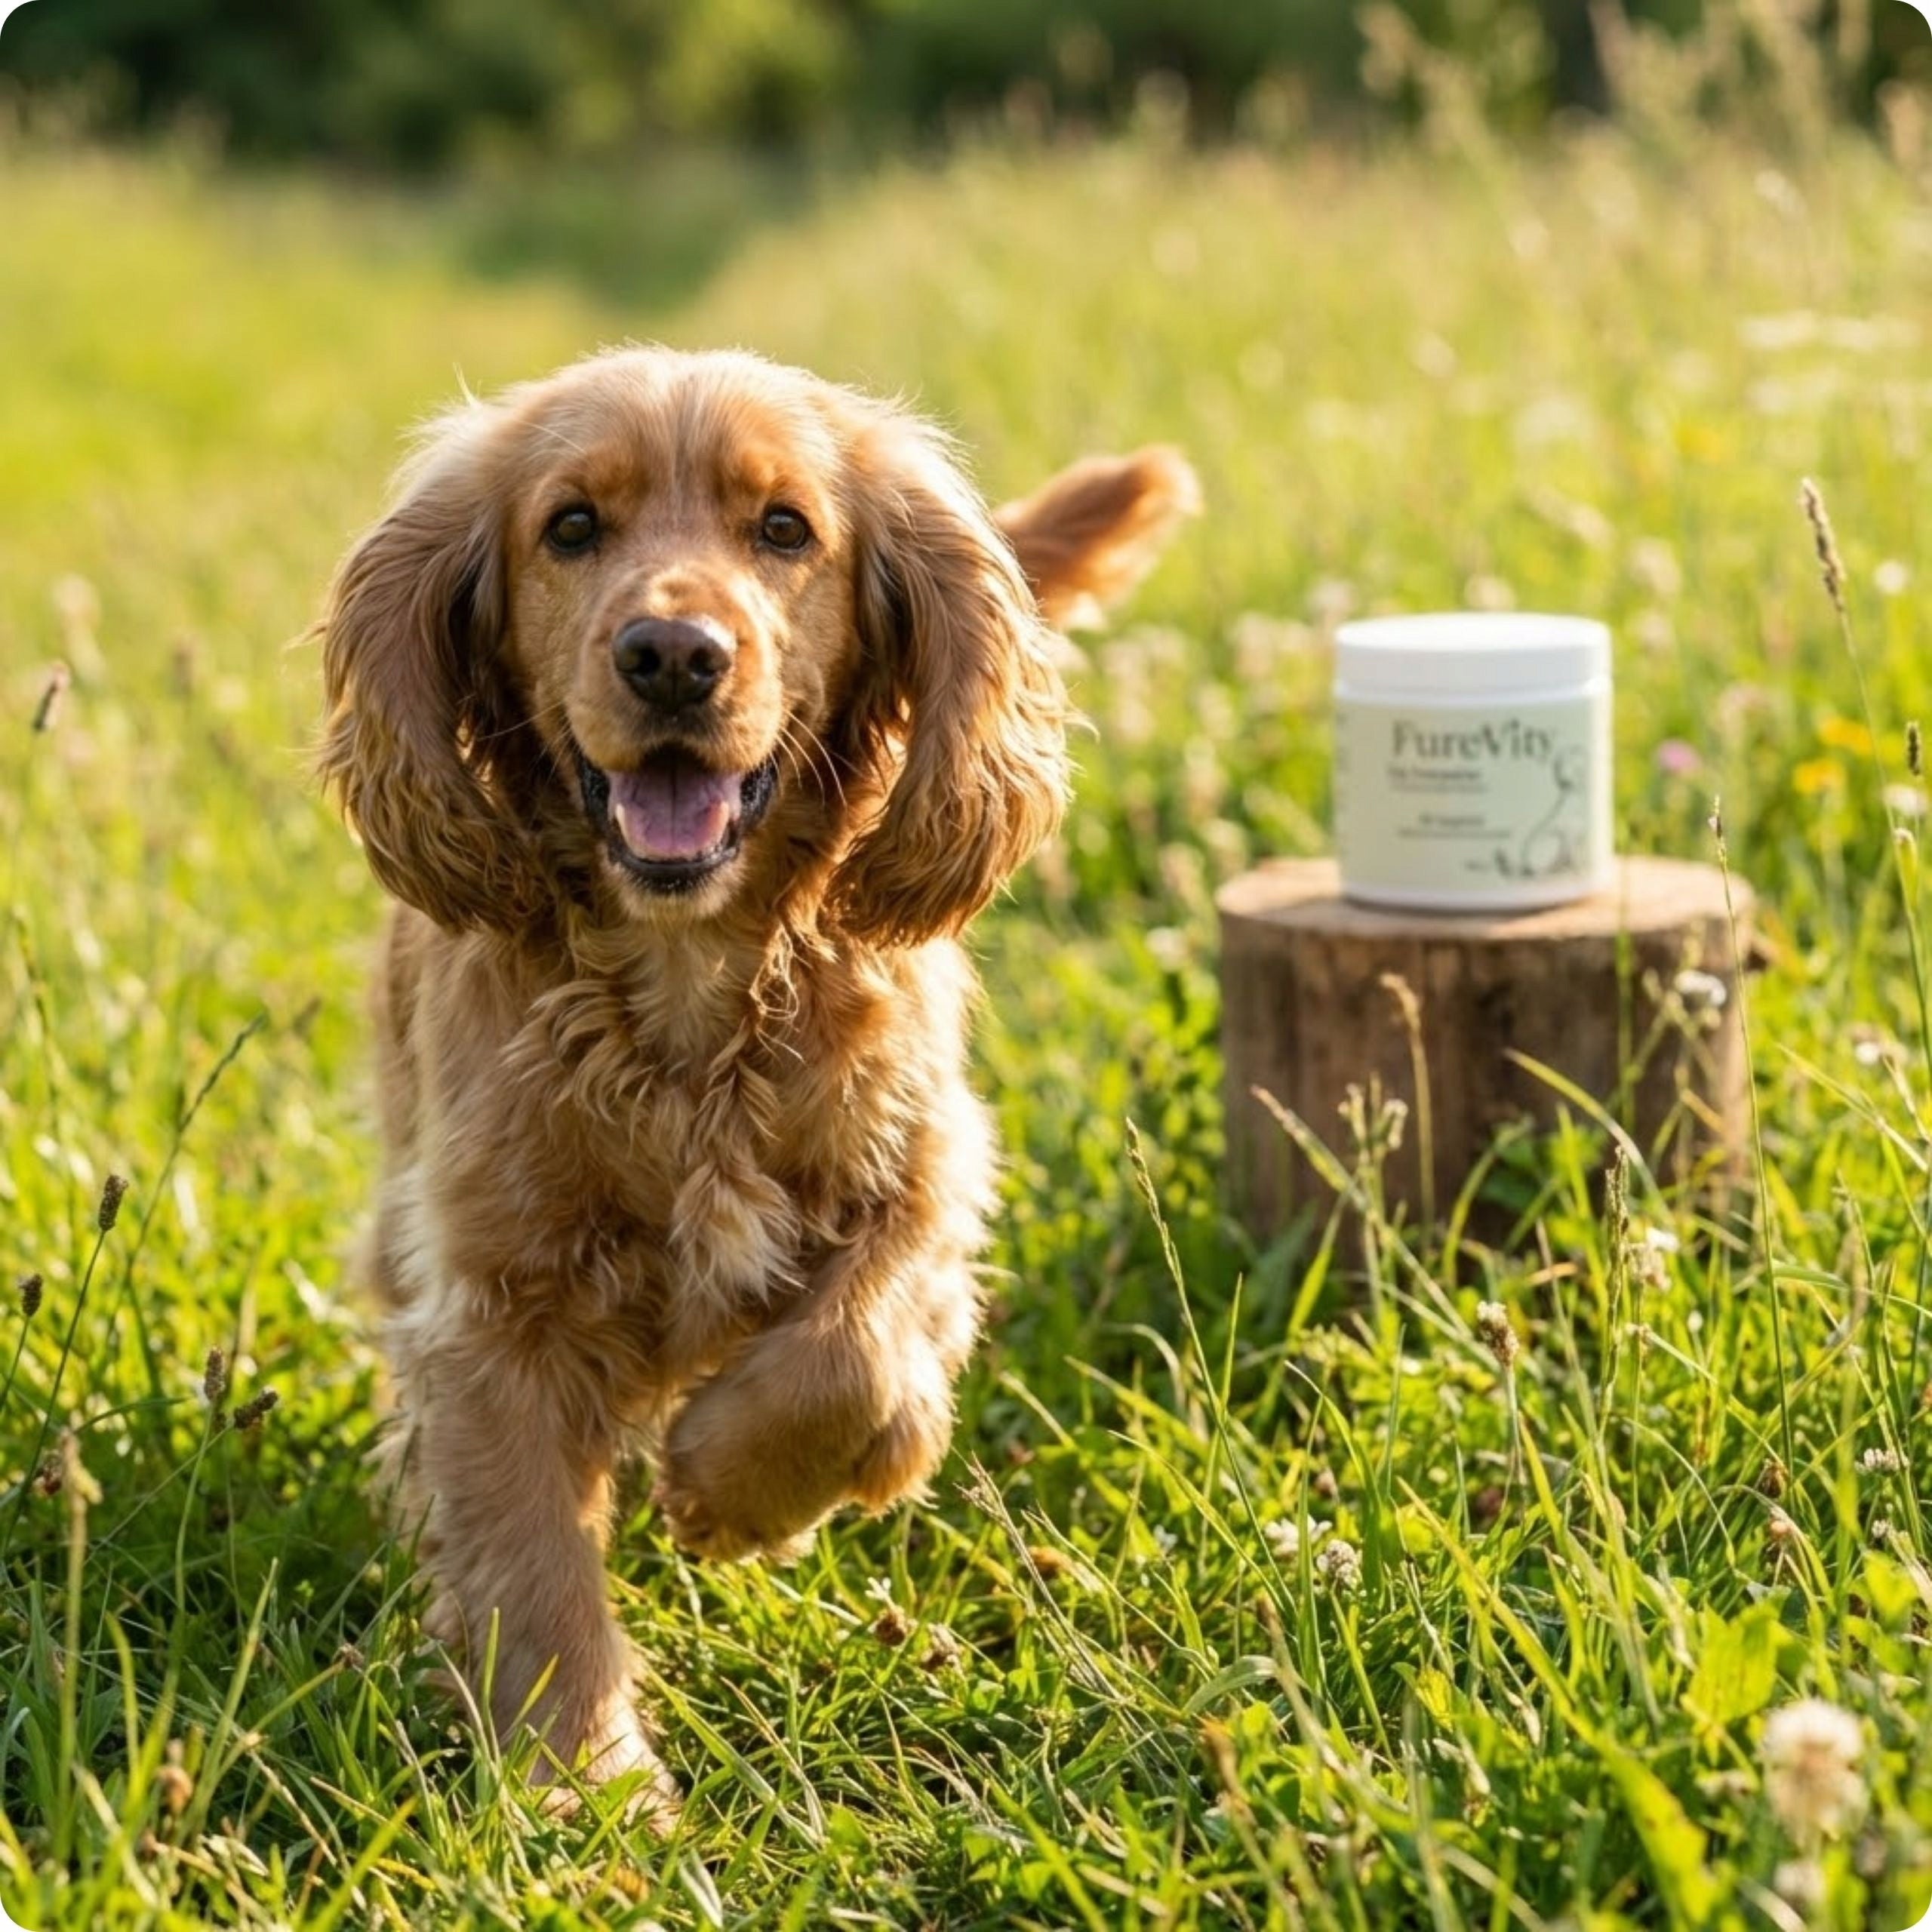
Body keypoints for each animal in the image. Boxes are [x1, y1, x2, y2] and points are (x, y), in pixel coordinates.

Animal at [316, 345, 1194, 1812]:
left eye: (784, 529)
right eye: (572, 527)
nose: (674, 656)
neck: (690, 980)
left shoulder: (928, 1176)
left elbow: (852, 1364)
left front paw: (728, 1495)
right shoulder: (489, 1297)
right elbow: (528, 1557)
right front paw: (583, 1789)